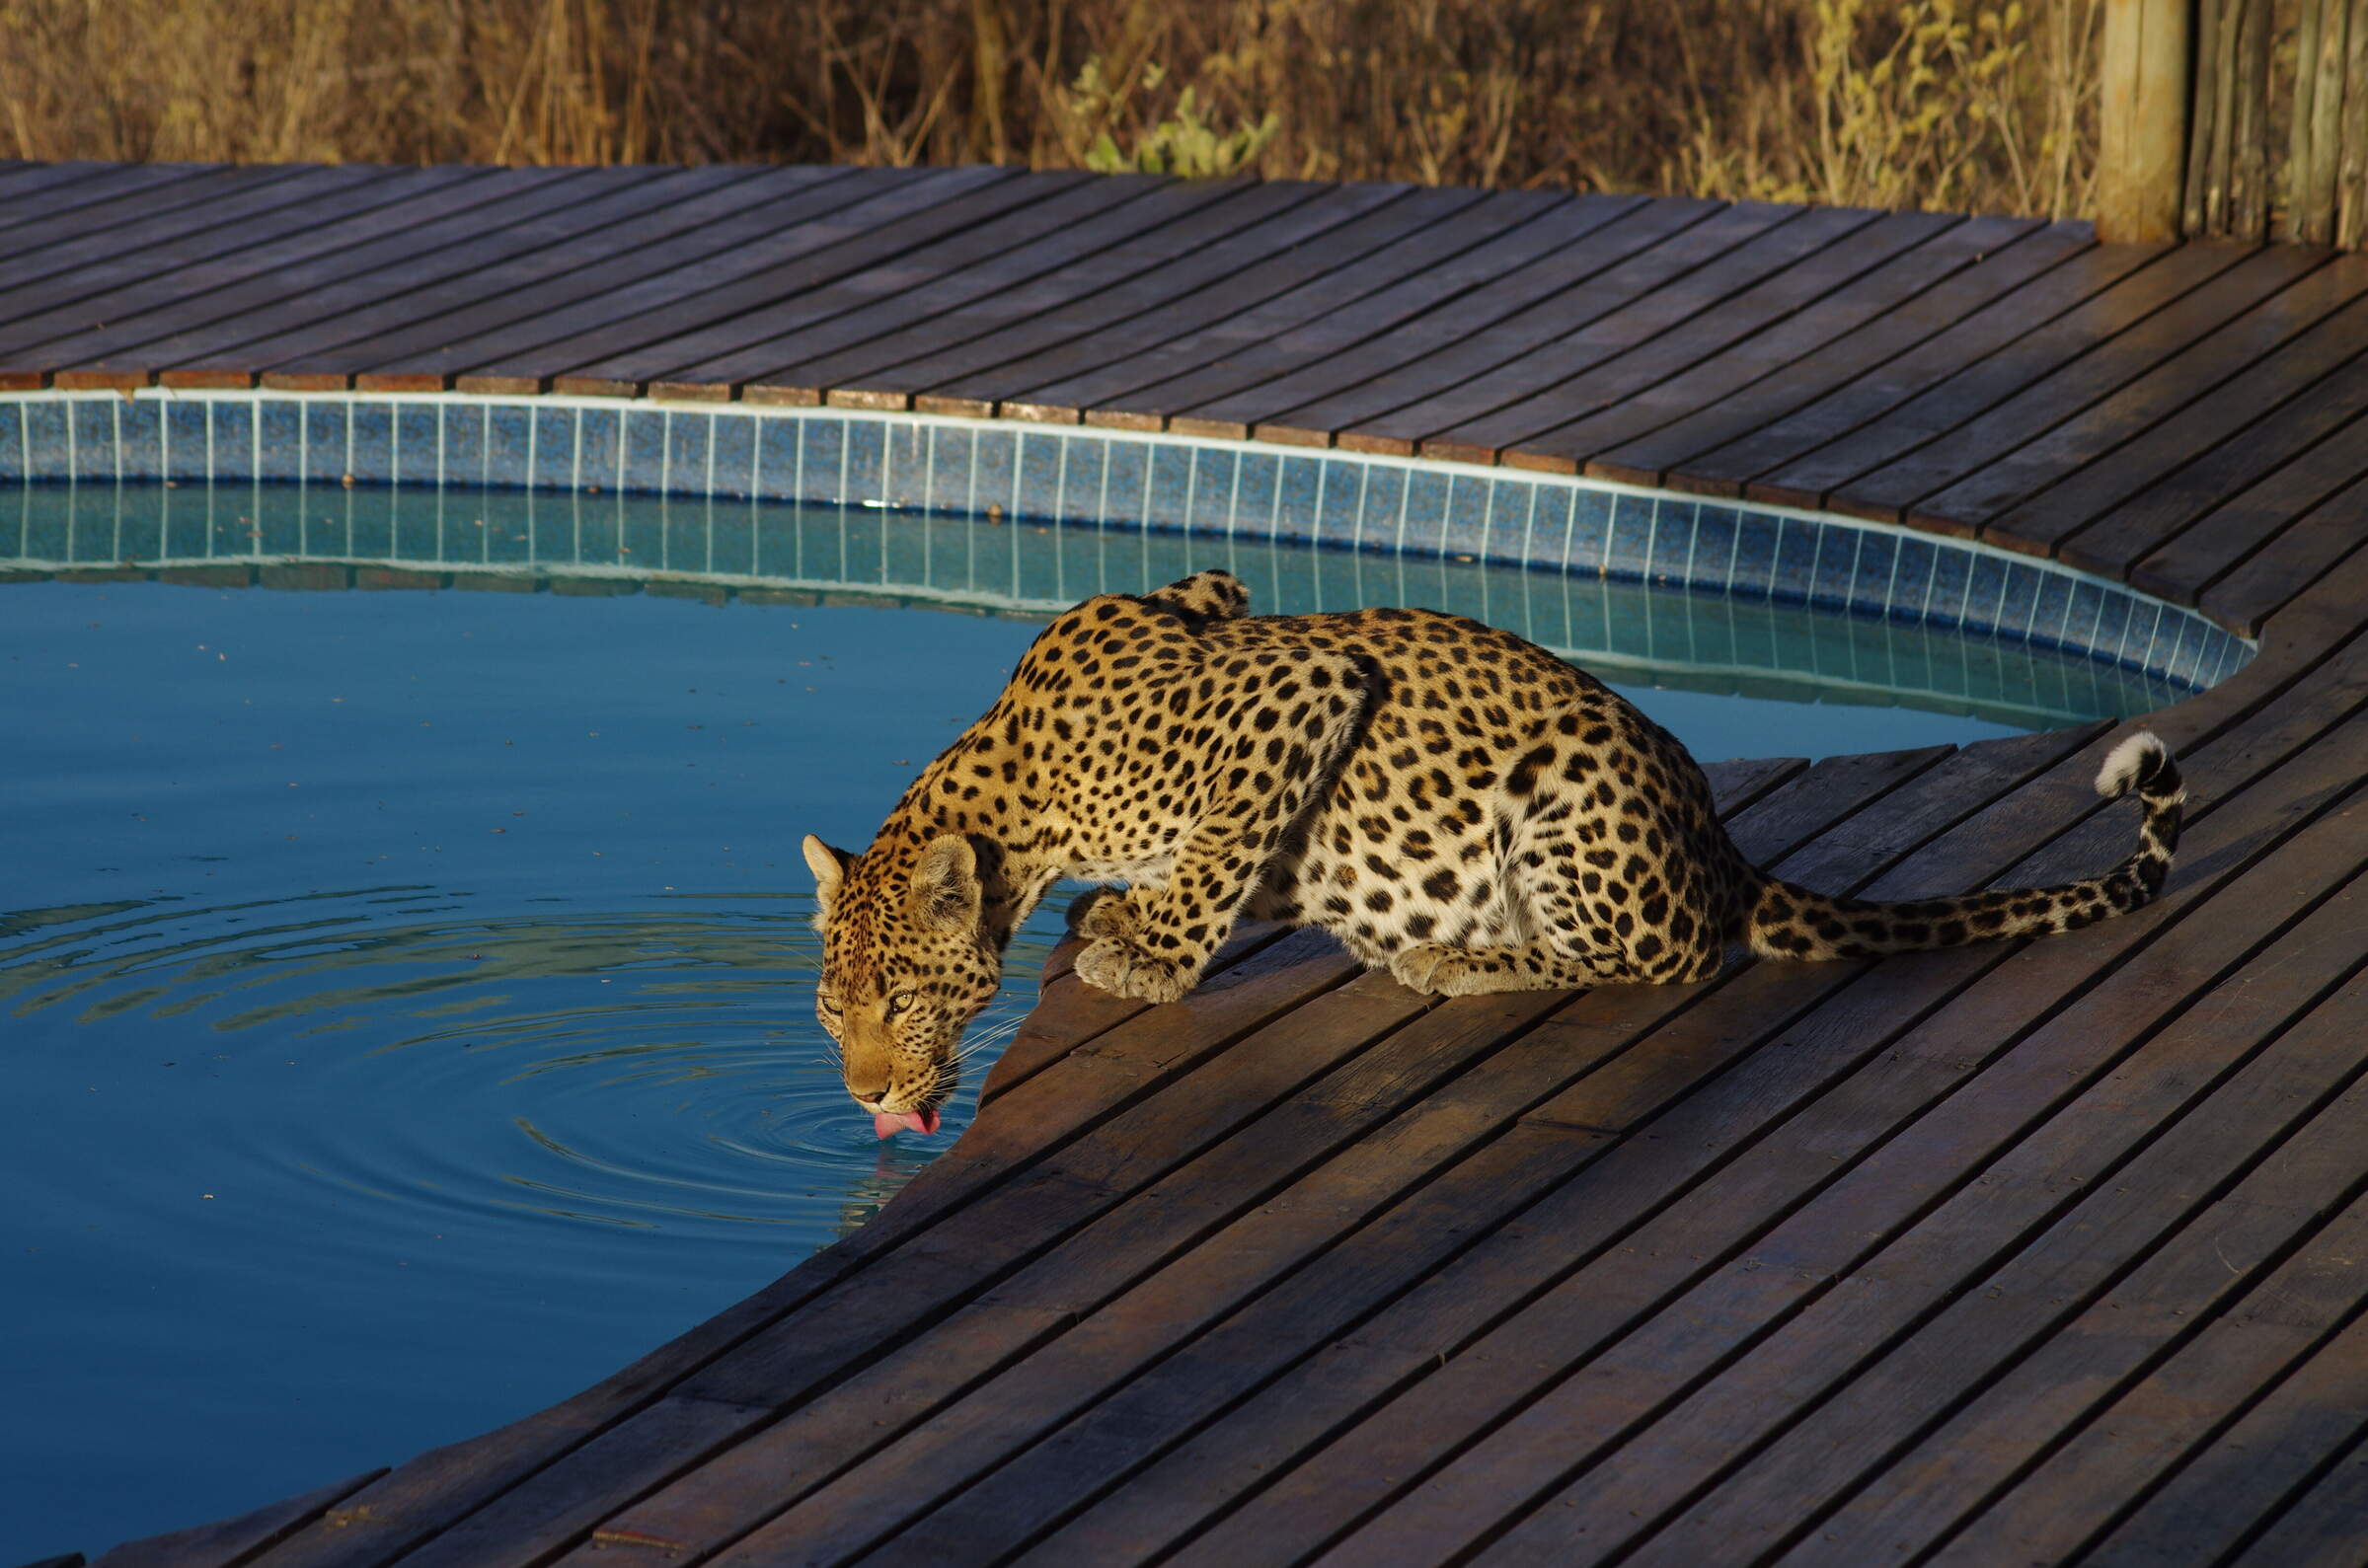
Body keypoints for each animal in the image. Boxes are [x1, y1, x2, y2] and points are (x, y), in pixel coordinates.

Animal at [809, 570, 2178, 1137]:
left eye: (900, 1000)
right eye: (832, 1012)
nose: (865, 1095)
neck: (1021, 800)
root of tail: (1720, 853)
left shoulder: (1297, 685)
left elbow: (1222, 840)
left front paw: (1147, 954)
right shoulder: (1214, 592)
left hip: (1571, 787)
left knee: (1664, 959)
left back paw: (1465, 958)